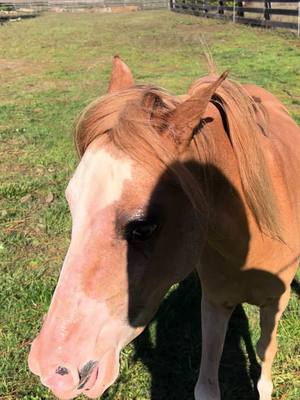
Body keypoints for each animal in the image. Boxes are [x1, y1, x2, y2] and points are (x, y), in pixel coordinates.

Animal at [28, 56, 300, 400]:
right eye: (72, 205)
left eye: (144, 228)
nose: (51, 368)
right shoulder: (215, 302)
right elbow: (207, 386)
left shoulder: (276, 303)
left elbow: (265, 359)